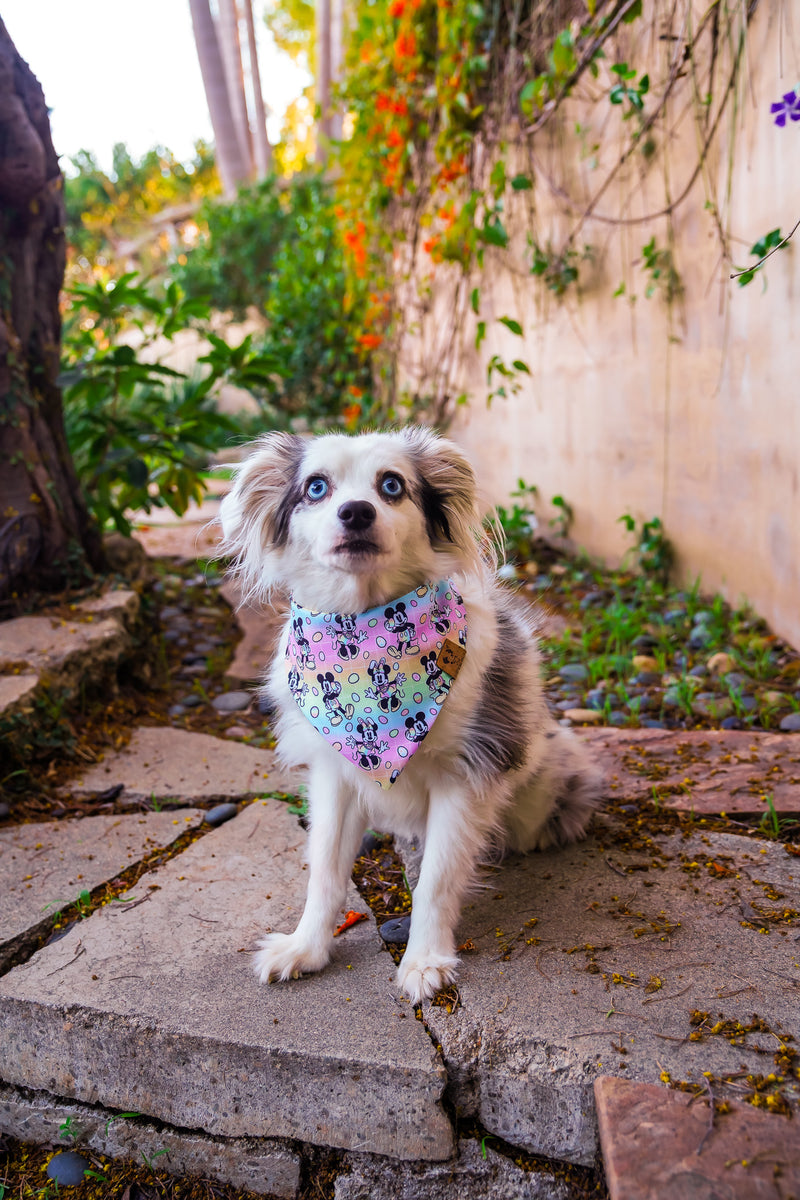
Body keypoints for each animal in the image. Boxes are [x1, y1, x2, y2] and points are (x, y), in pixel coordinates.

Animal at [219, 427, 599, 1008]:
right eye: (316, 487)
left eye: (392, 485)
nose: (356, 512)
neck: (368, 633)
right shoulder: (334, 776)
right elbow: (324, 869)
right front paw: (305, 948)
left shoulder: (466, 774)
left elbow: (437, 880)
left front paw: (424, 962)